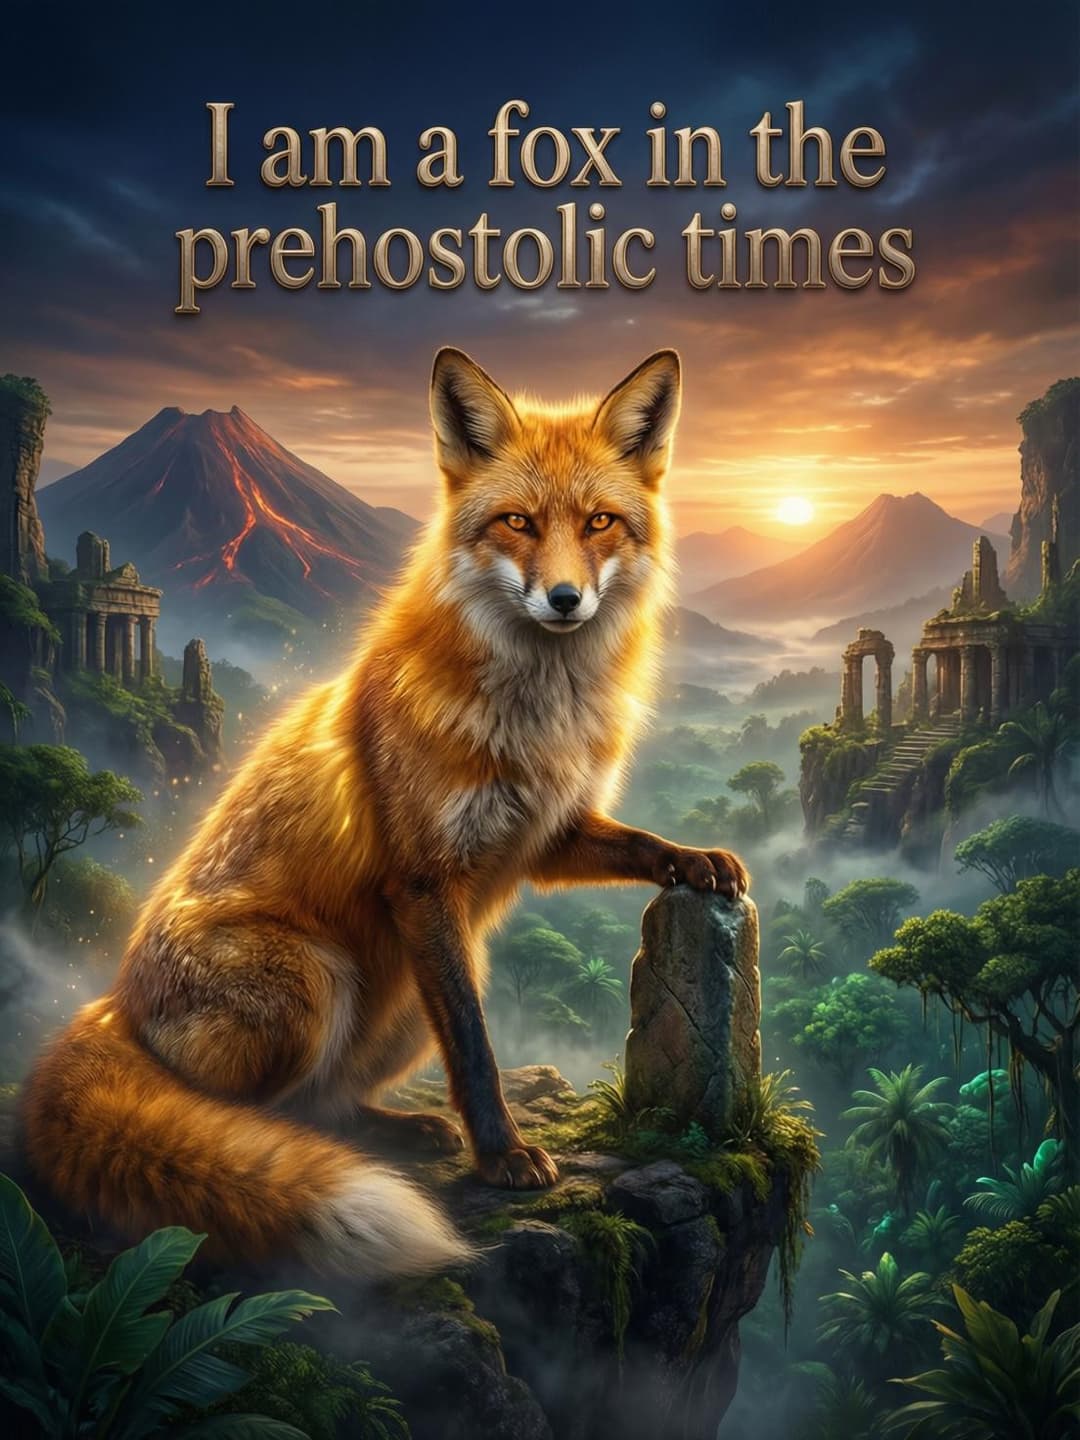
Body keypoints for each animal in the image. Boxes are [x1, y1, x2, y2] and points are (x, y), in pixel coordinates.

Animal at [22, 347, 749, 1281]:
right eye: (516, 521)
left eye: (599, 523)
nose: (563, 600)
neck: (537, 715)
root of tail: (112, 1001)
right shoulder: (423, 881)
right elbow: (475, 1046)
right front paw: (502, 1153)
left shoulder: (544, 834)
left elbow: (641, 845)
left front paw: (697, 860)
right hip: (318, 979)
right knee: (242, 1116)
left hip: (405, 996)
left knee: (325, 1105)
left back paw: (397, 1130)